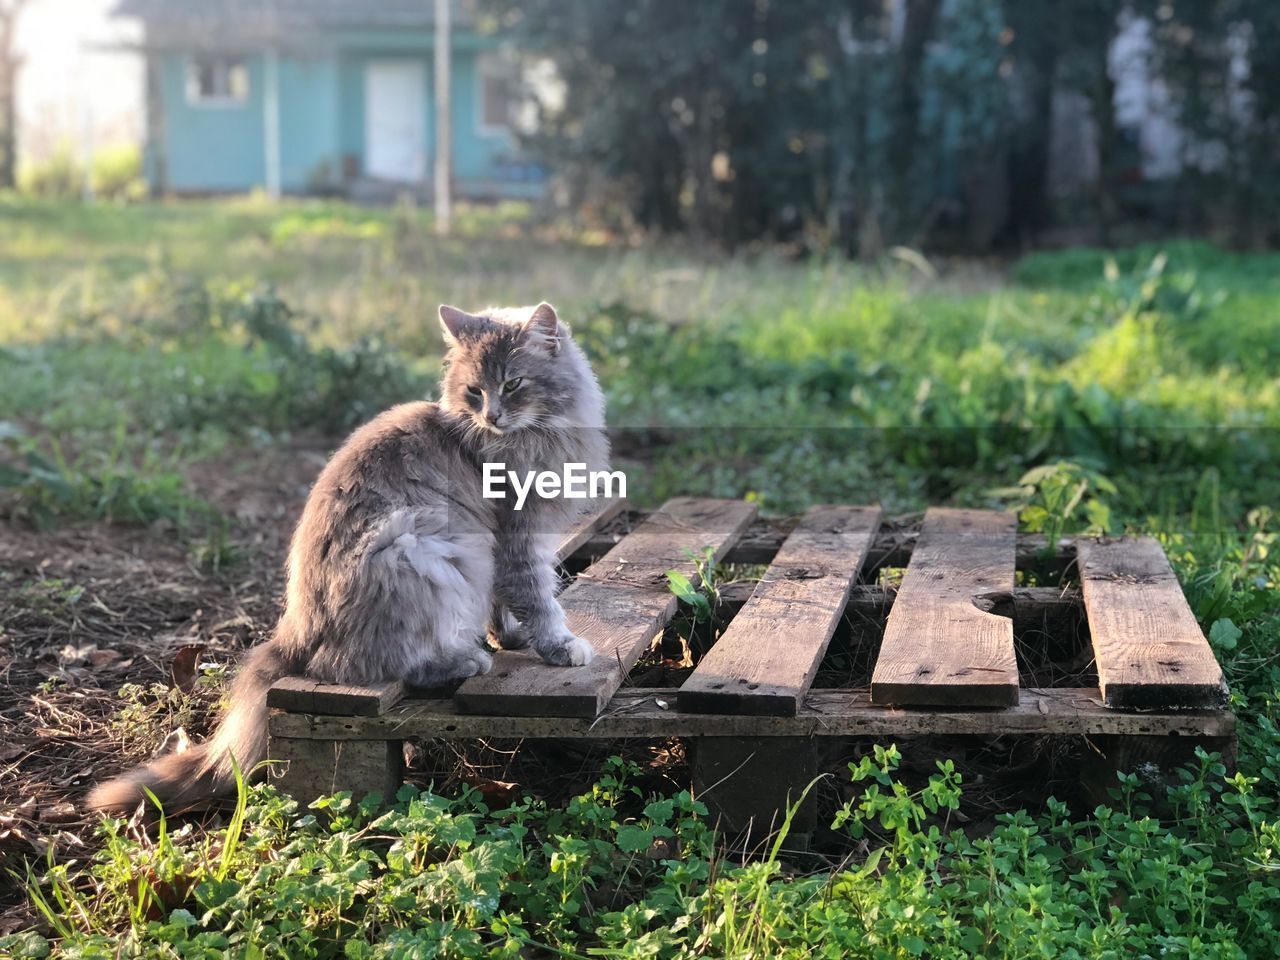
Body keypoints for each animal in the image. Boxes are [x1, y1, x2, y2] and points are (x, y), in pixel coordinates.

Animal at [88, 304, 609, 814]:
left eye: (513, 384)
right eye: (475, 391)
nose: (493, 416)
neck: (534, 437)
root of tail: (292, 628)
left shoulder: (503, 548)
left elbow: (503, 604)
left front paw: (512, 638)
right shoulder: (516, 536)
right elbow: (538, 598)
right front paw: (559, 646)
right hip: (419, 554)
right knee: (369, 667)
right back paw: (463, 662)